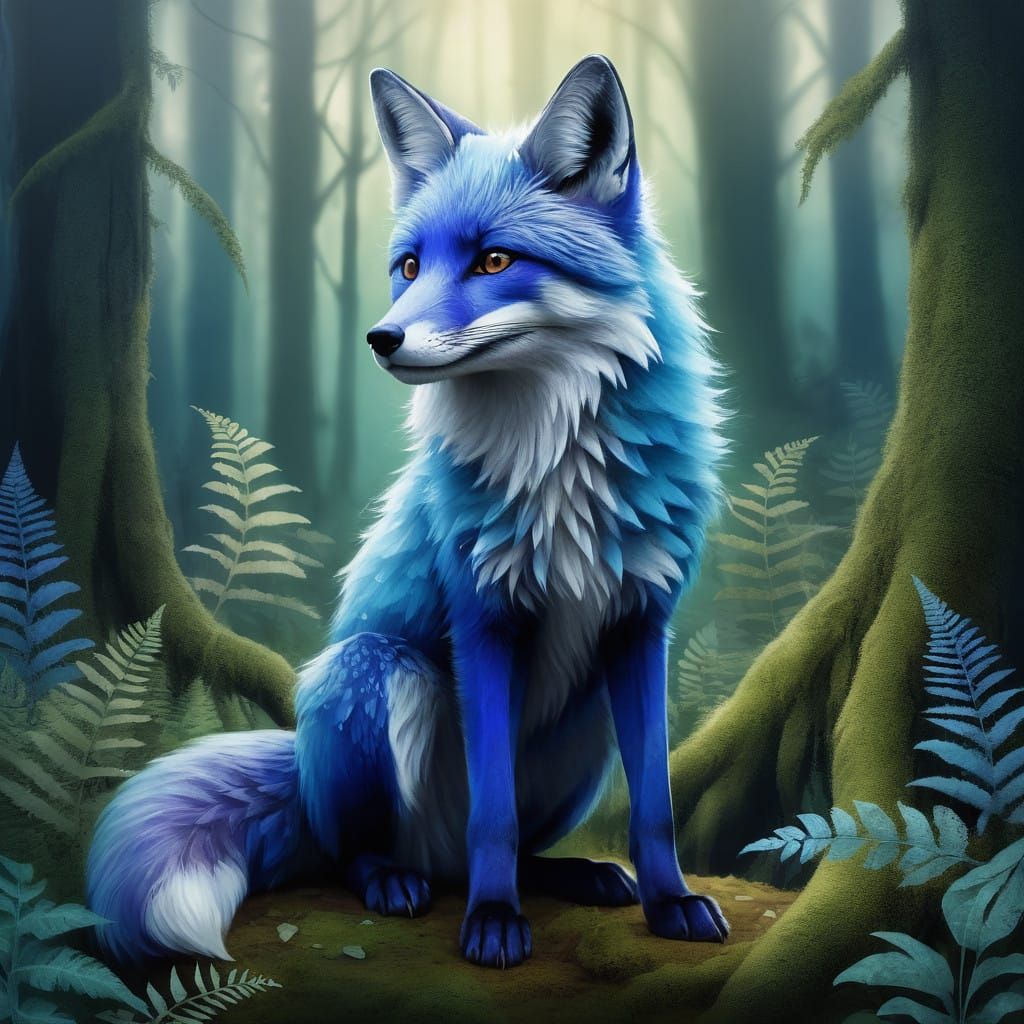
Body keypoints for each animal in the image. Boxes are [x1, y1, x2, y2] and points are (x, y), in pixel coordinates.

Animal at [87, 55, 729, 969]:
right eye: (410, 267)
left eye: (495, 260)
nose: (381, 339)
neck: (557, 471)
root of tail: (300, 766)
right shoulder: (484, 620)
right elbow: (493, 817)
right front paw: (493, 924)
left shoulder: (641, 624)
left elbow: (656, 809)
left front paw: (670, 902)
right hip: (379, 670)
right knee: (366, 851)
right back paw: (400, 884)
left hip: (588, 727)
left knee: (507, 845)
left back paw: (575, 876)